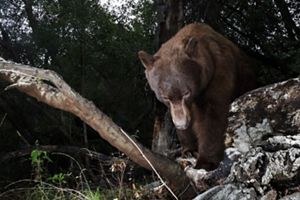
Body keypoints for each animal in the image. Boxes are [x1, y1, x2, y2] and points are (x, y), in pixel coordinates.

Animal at [138, 23, 255, 170]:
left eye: (186, 93)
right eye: (165, 97)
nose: (182, 124)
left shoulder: (219, 72)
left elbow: (211, 114)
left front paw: (205, 162)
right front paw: (189, 149)